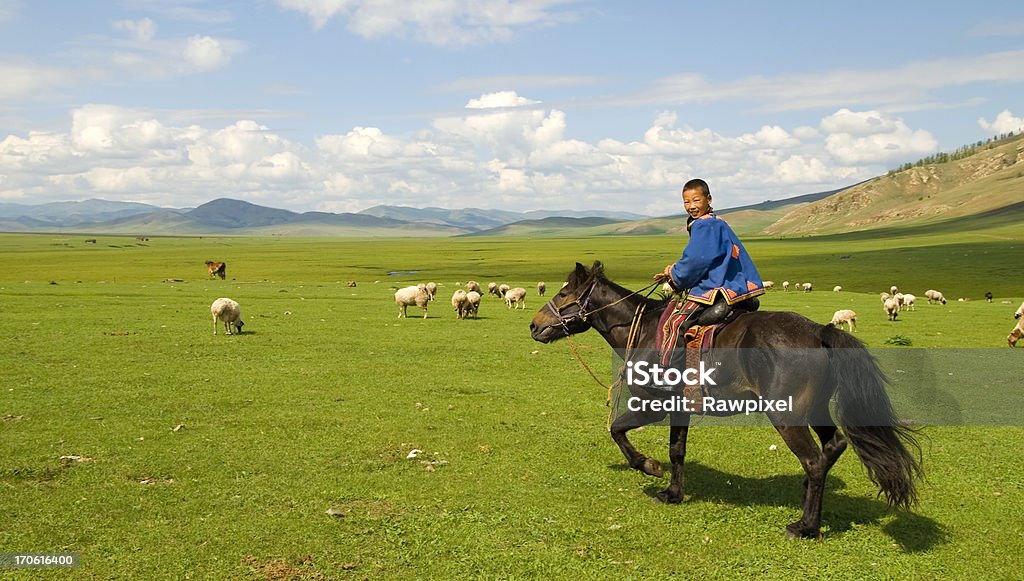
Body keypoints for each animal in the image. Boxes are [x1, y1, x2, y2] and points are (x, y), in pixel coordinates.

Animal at [532, 261, 925, 536]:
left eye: (564, 295)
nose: (535, 326)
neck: (641, 329)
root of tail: (818, 331)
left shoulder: (652, 404)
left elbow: (617, 430)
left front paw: (648, 466)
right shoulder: (679, 408)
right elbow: (677, 450)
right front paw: (673, 492)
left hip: (787, 416)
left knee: (814, 460)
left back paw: (805, 526)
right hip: (813, 409)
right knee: (834, 446)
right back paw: (805, 501)